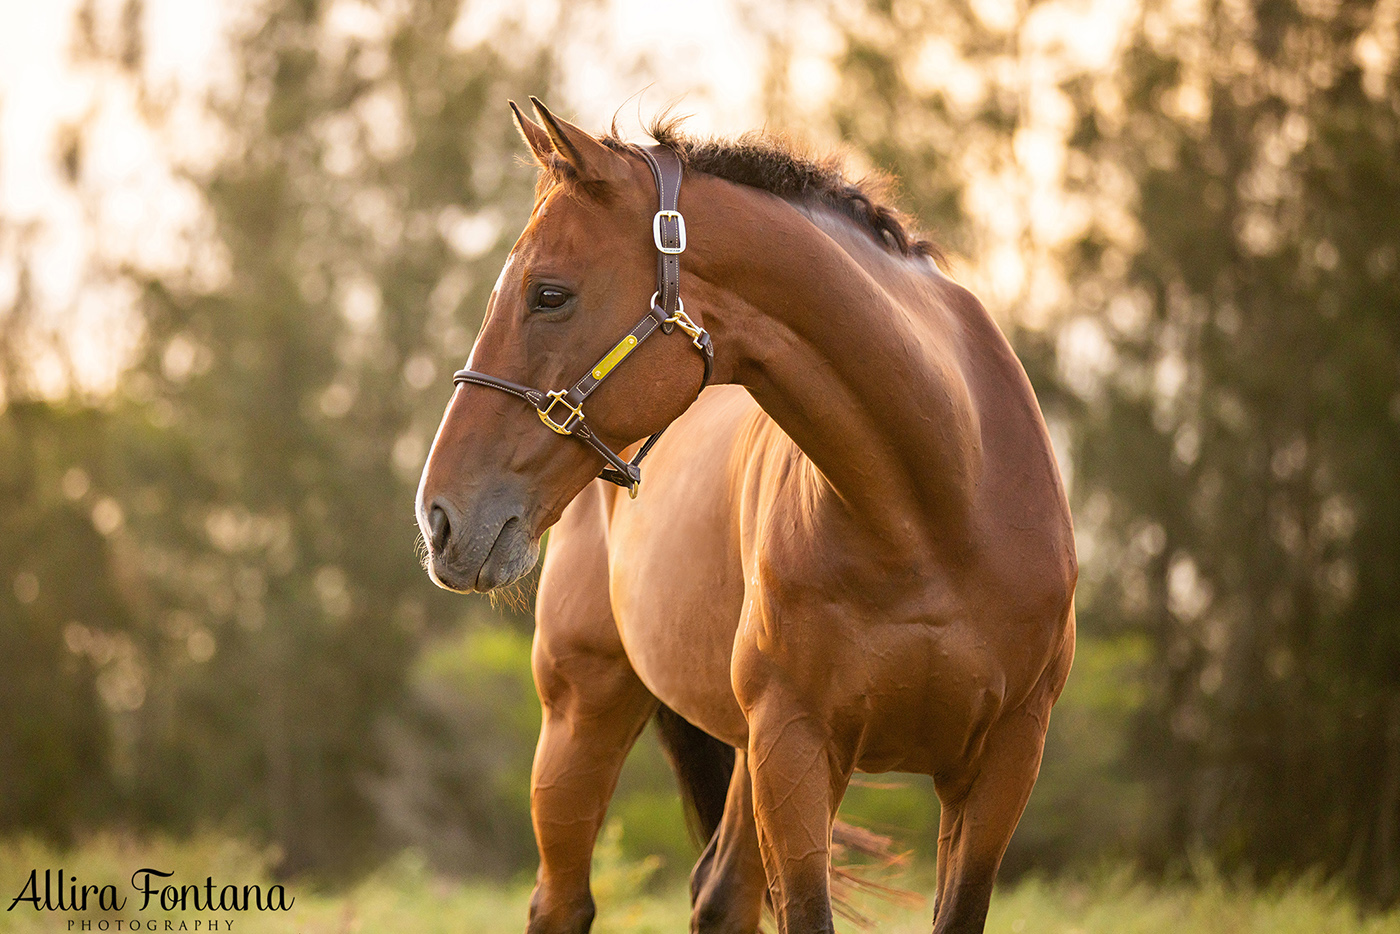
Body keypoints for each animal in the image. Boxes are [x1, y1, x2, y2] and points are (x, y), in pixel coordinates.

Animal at [411, 100, 1069, 934]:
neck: (934, 513)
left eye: (548, 294)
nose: (439, 518)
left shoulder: (1004, 763)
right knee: (563, 902)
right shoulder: (794, 744)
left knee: (720, 895)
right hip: (583, 712)